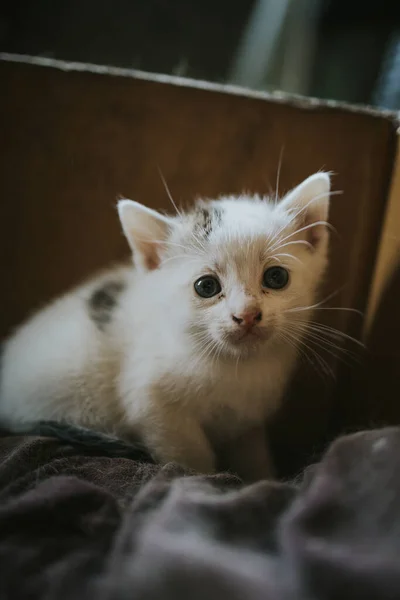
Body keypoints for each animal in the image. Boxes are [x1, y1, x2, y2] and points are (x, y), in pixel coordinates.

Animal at [0, 171, 332, 480]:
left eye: (276, 277)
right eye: (206, 286)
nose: (247, 314)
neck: (237, 367)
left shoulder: (247, 420)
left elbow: (252, 453)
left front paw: (260, 477)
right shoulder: (153, 405)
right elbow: (188, 456)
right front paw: (205, 479)